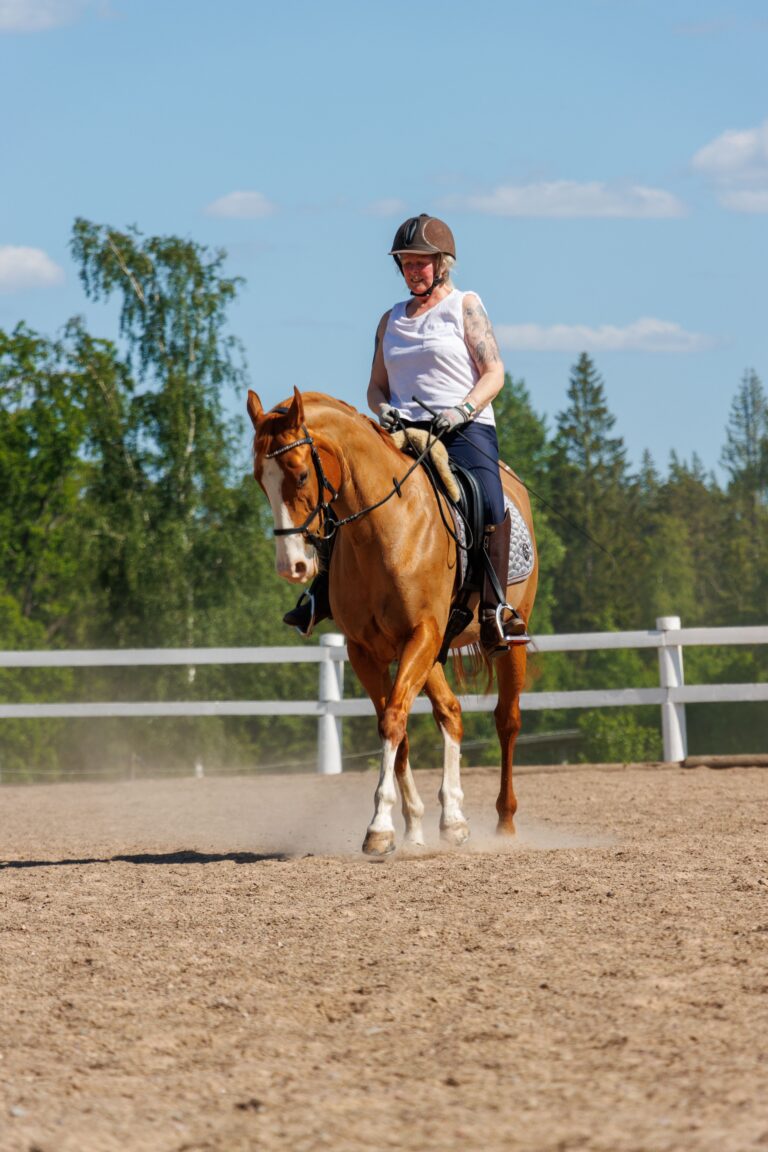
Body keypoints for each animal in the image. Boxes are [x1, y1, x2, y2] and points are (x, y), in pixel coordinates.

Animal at [247, 387, 538, 856]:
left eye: (301, 474)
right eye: (260, 479)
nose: (291, 566)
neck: (382, 529)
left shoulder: (419, 634)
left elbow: (394, 719)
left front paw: (380, 827)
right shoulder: (366, 650)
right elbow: (393, 723)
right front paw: (409, 826)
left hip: (506, 641)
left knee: (506, 721)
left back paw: (504, 824)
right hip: (433, 650)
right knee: (451, 712)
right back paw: (451, 821)